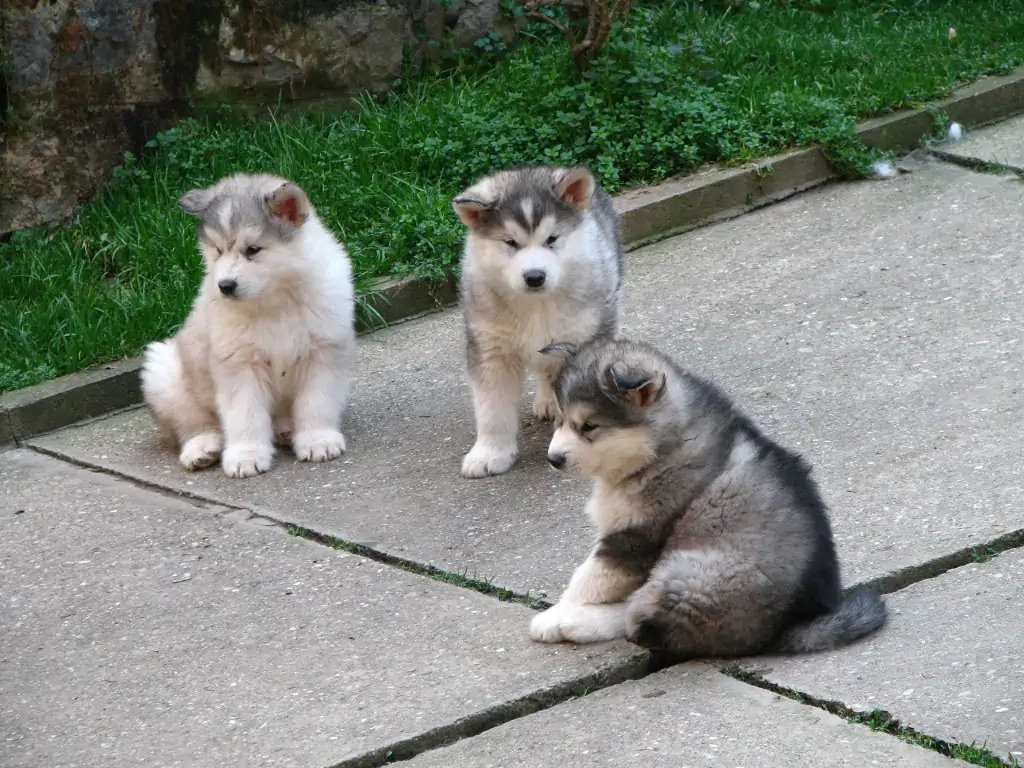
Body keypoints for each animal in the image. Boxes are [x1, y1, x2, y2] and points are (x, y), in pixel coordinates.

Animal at [140, 172, 356, 479]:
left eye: (253, 250)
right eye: (217, 251)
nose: (225, 286)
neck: (273, 301)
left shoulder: (323, 353)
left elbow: (315, 402)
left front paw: (317, 440)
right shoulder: (238, 364)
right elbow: (245, 414)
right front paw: (246, 455)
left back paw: (286, 430)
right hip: (164, 372)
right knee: (192, 424)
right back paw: (201, 448)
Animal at [454, 167, 622, 479]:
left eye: (552, 238)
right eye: (510, 242)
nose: (534, 276)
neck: (536, 305)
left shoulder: (586, 334)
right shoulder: (490, 346)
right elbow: (492, 406)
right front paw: (489, 453)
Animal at [532, 339, 884, 659]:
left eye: (589, 426)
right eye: (559, 420)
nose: (553, 459)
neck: (659, 447)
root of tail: (790, 626)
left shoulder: (635, 538)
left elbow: (588, 579)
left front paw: (554, 615)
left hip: (691, 572)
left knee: (642, 619)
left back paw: (578, 623)